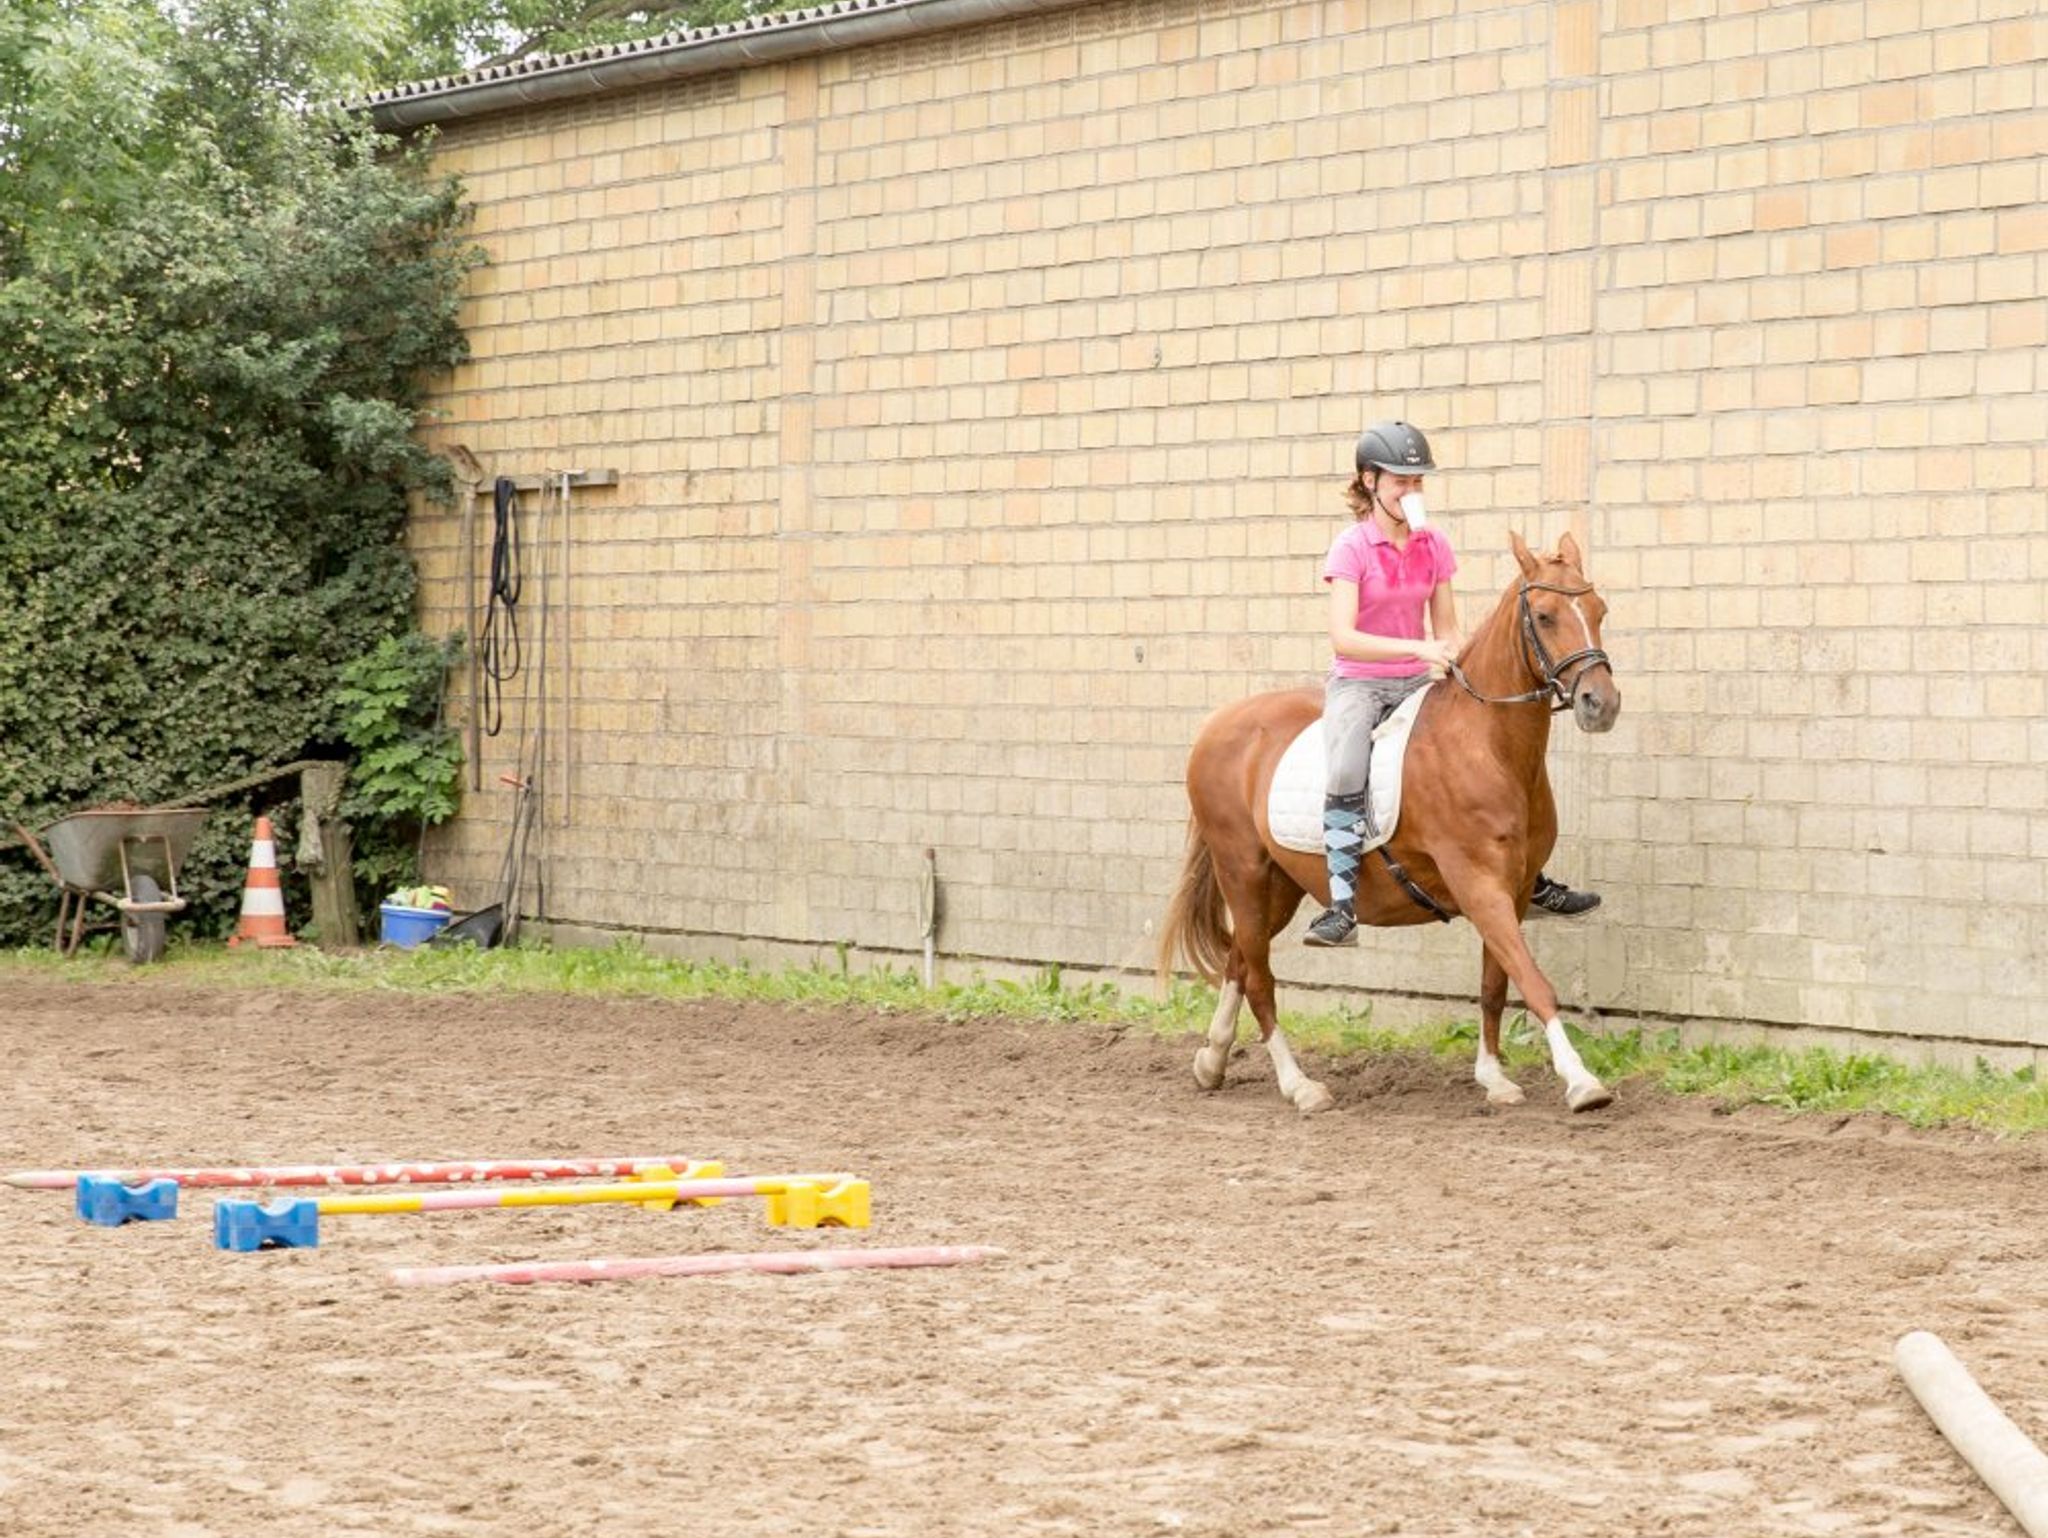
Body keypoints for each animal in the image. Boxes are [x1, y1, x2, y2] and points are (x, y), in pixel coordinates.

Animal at [1163, 536, 1622, 1114]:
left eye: (1600, 611)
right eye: (1543, 615)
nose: (1600, 704)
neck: (1486, 745)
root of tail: (1217, 725)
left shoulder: (1513, 891)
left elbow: (1496, 983)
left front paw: (1494, 1079)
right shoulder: (1478, 884)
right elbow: (1533, 980)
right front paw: (1582, 1083)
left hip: (1279, 885)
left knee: (1240, 962)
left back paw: (1212, 1060)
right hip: (1242, 872)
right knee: (1260, 978)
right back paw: (1300, 1086)